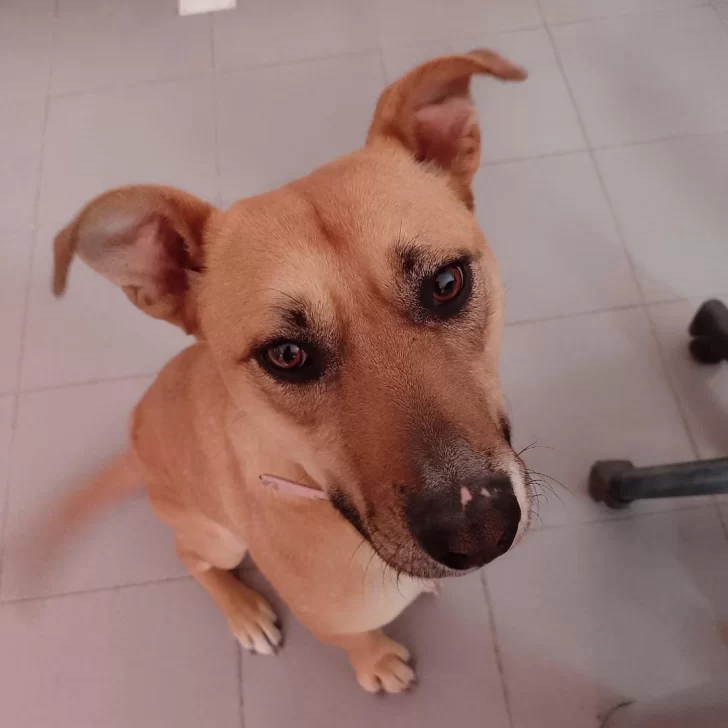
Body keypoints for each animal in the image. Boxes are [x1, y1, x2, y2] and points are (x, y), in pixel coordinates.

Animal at [46, 49, 531, 694]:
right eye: (286, 355)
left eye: (447, 283)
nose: (476, 529)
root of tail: (134, 444)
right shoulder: (328, 614)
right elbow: (353, 639)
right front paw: (376, 662)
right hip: (217, 537)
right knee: (191, 558)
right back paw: (243, 610)